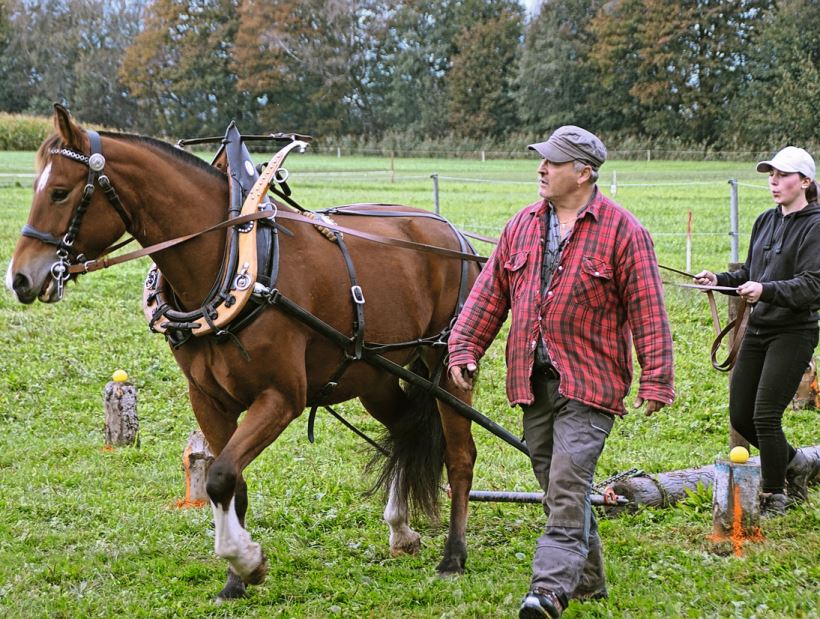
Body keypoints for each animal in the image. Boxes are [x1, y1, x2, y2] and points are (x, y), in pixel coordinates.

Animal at [4, 105, 480, 600]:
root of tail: (450, 232)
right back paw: (401, 530)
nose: (18, 278)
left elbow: (218, 478)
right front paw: (236, 579)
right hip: (375, 377)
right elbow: (233, 482)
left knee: (460, 456)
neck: (231, 256)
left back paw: (453, 555)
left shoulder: (281, 398)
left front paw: (247, 560)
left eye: (60, 192)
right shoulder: (207, 399)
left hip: (448, 367)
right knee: (405, 431)